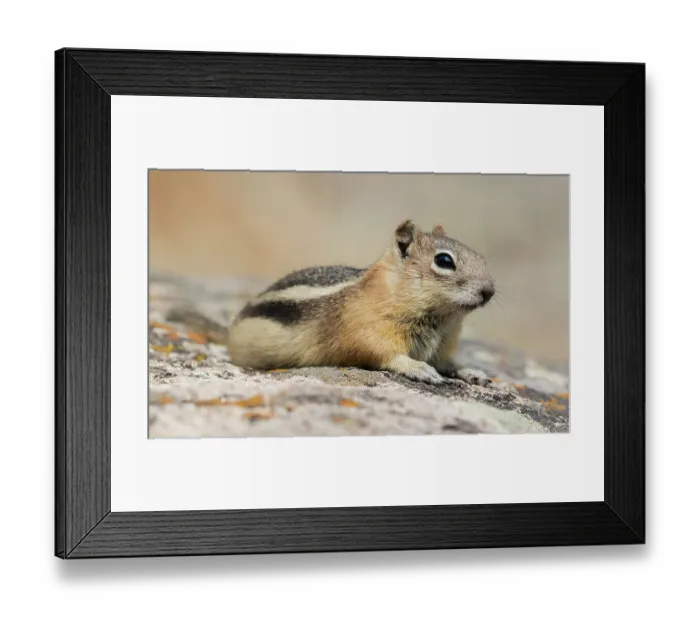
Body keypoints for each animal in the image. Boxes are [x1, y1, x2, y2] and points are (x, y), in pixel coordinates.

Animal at [169, 220, 495, 386]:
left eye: (481, 257)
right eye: (444, 261)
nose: (489, 291)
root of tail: (229, 332)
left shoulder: (442, 345)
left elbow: (447, 363)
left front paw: (470, 371)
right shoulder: (369, 332)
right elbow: (386, 355)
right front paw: (419, 368)